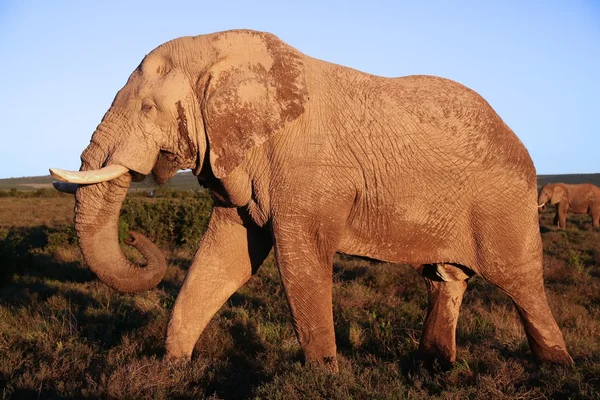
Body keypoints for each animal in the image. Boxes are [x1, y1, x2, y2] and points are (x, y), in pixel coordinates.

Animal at [49, 28, 568, 372]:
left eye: (147, 108)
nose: (137, 236)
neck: (218, 52)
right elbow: (227, 257)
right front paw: (172, 368)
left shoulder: (309, 173)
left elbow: (300, 261)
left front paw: (323, 376)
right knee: (445, 279)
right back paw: (434, 366)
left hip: (504, 203)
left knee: (520, 282)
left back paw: (556, 366)